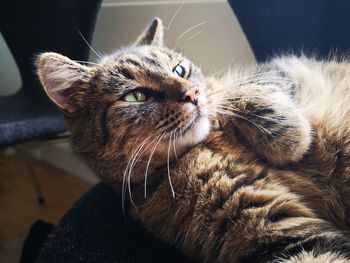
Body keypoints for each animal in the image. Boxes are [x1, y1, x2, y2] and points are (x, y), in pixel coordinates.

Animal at [36, 18, 350, 262]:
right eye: (135, 96)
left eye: (179, 70)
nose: (192, 93)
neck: (206, 146)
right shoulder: (274, 229)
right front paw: (293, 139)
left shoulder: (277, 70)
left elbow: (242, 90)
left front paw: (290, 138)